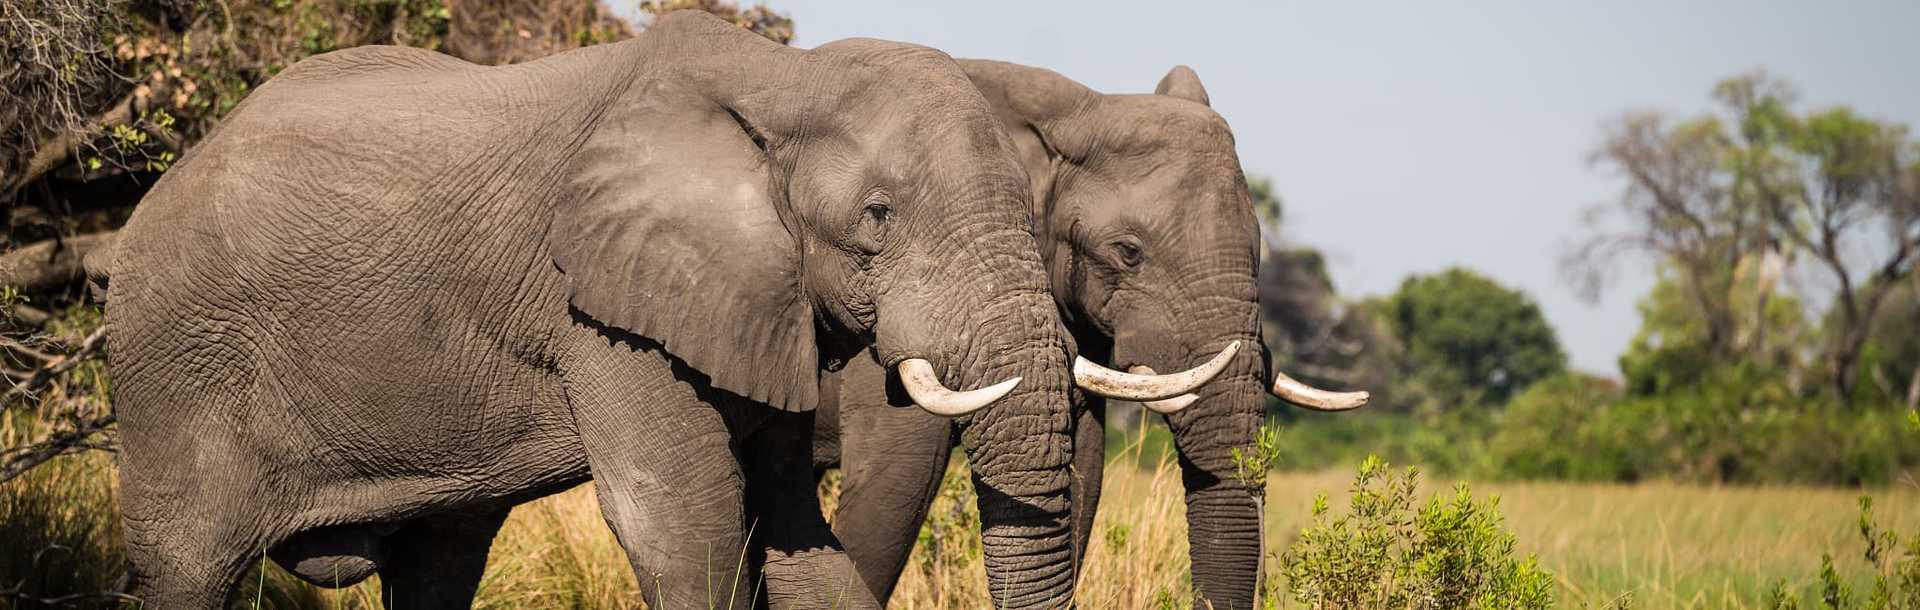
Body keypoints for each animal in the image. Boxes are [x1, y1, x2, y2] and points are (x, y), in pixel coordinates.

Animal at [86, 11, 1228, 606]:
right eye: (876, 217)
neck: (780, 81)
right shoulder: (603, 307)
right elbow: (683, 518)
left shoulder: (760, 301)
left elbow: (793, 527)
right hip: (174, 369)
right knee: (189, 567)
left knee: (440, 559)